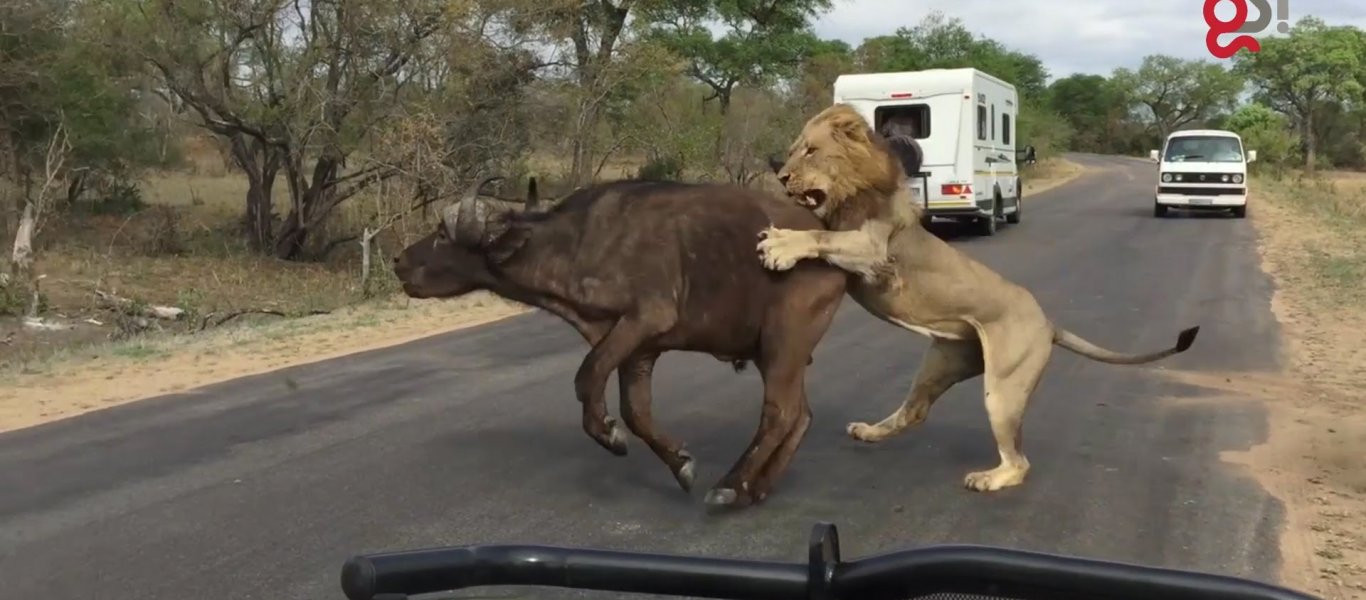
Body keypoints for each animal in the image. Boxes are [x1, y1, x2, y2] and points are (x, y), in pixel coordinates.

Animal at [390, 174, 846, 508]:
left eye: (442, 234)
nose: (398, 261)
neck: (576, 243)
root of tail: (827, 244)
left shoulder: (643, 320)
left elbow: (587, 376)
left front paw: (609, 435)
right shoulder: (640, 349)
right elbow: (636, 411)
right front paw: (680, 463)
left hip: (783, 343)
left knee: (779, 413)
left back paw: (732, 485)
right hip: (777, 354)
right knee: (801, 415)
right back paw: (758, 487)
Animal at [754, 104, 1202, 492]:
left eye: (811, 151)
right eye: (791, 152)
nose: (782, 178)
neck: (850, 190)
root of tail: (1049, 323)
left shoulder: (874, 249)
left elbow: (821, 235)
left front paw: (780, 244)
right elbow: (821, 232)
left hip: (1004, 388)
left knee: (1019, 461)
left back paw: (988, 479)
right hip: (941, 363)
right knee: (915, 411)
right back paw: (869, 432)